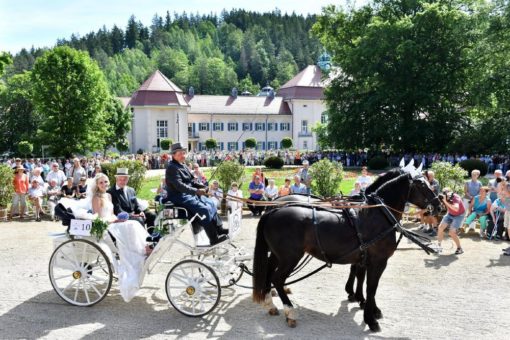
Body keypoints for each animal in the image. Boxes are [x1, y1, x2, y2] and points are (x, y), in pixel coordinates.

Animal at [253, 171, 440, 330]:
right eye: (423, 185)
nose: (440, 206)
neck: (379, 212)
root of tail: (273, 210)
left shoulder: (364, 258)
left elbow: (362, 279)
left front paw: (364, 303)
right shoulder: (378, 261)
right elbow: (371, 287)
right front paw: (370, 317)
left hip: (277, 255)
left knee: (269, 272)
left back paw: (270, 303)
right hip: (290, 257)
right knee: (277, 278)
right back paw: (290, 311)